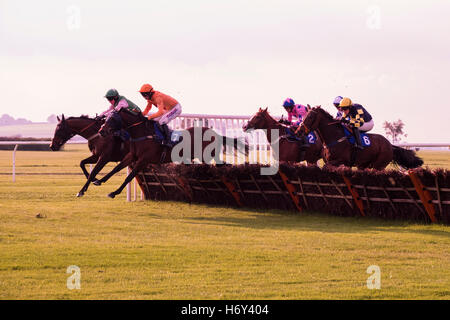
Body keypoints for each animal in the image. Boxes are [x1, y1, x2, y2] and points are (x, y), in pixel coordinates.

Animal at [97, 109, 250, 198]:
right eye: (106, 118)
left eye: (113, 119)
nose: (101, 131)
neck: (142, 133)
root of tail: (216, 134)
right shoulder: (132, 156)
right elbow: (116, 168)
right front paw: (98, 180)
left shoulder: (143, 160)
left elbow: (129, 177)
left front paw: (114, 193)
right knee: (220, 165)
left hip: (206, 156)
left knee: (220, 166)